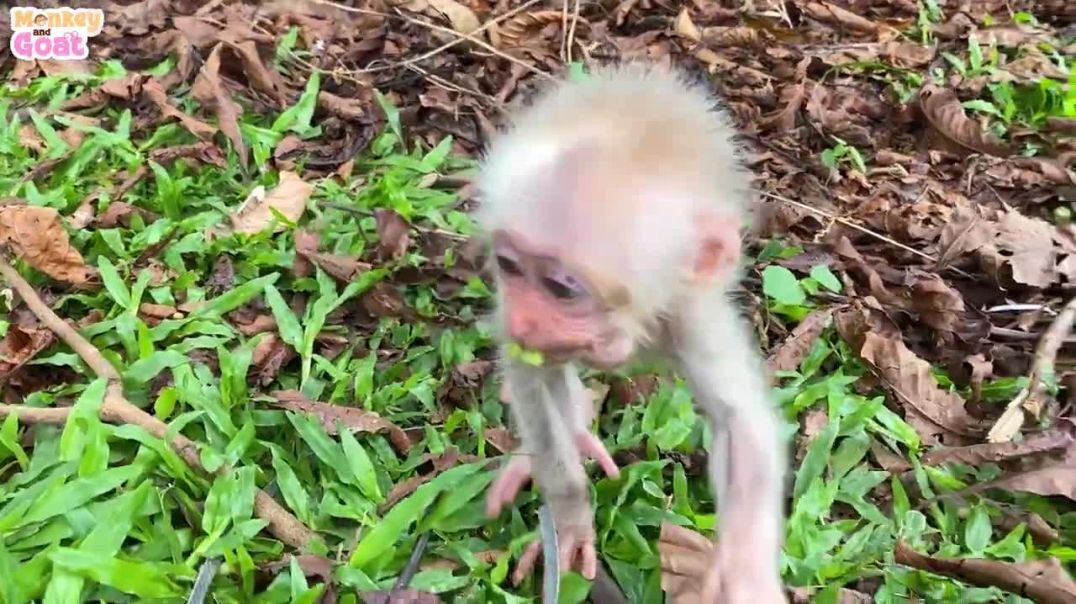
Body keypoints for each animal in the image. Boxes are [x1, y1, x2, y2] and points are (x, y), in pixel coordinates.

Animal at [474, 62, 788, 603]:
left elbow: (742, 427)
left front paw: (745, 575)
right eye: (511, 267)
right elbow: (530, 372)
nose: (521, 322)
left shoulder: (688, 312)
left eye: (561, 288)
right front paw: (570, 516)